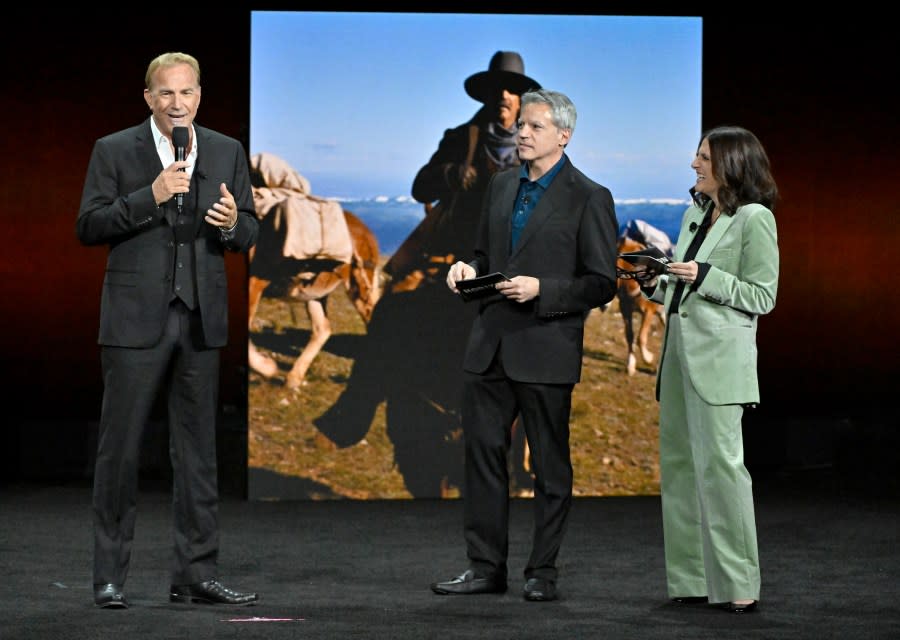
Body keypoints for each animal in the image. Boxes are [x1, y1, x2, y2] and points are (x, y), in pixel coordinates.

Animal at [248, 210, 382, 390]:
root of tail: (367, 232)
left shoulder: (254, 284)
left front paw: (267, 368)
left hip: (357, 288)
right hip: (315, 294)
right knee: (322, 329)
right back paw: (293, 378)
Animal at [616, 236, 664, 376]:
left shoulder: (648, 312)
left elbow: (641, 337)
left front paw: (648, 358)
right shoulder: (625, 309)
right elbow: (629, 335)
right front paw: (631, 365)